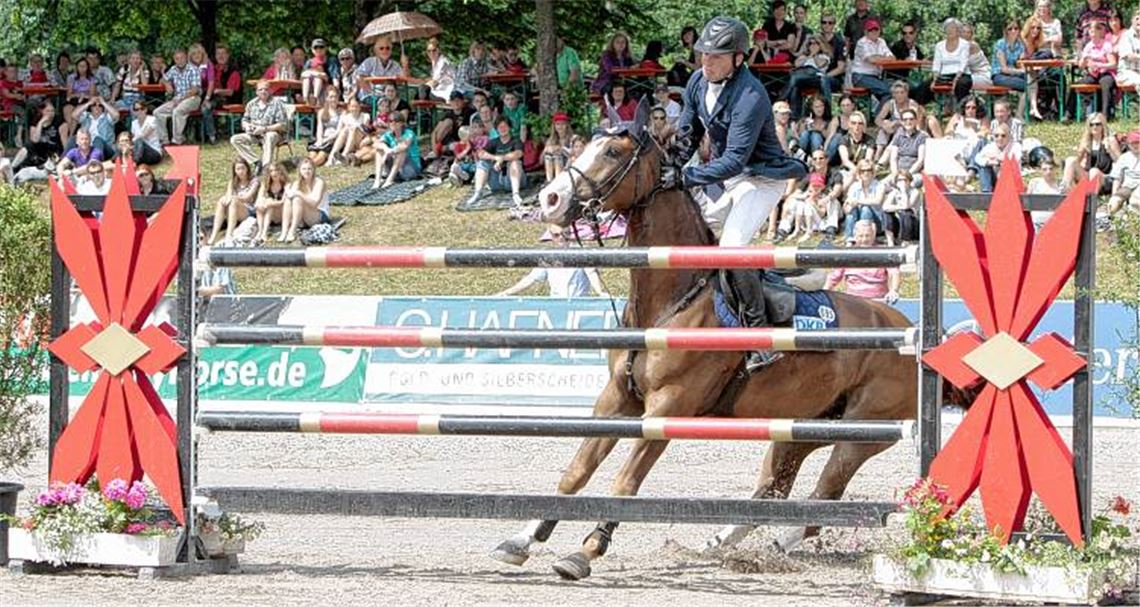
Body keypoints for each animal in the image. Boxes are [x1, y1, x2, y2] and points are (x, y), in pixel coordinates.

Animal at [489, 102, 920, 581]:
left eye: (614, 151)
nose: (550, 199)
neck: (669, 300)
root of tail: (905, 328)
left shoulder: (669, 407)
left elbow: (626, 481)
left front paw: (586, 551)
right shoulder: (617, 399)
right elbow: (576, 471)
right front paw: (522, 540)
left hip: (860, 435)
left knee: (820, 500)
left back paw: (777, 543)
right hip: (799, 429)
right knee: (773, 487)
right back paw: (720, 543)